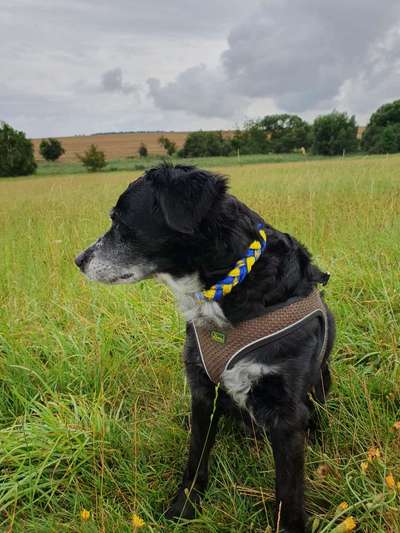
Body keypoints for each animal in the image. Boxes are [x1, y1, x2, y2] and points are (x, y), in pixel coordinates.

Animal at [74, 163, 334, 532]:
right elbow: (196, 457)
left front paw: (290, 525)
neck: (229, 287)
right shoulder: (202, 390)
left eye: (120, 221)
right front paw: (183, 508)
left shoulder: (286, 411)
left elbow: (288, 488)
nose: (78, 259)